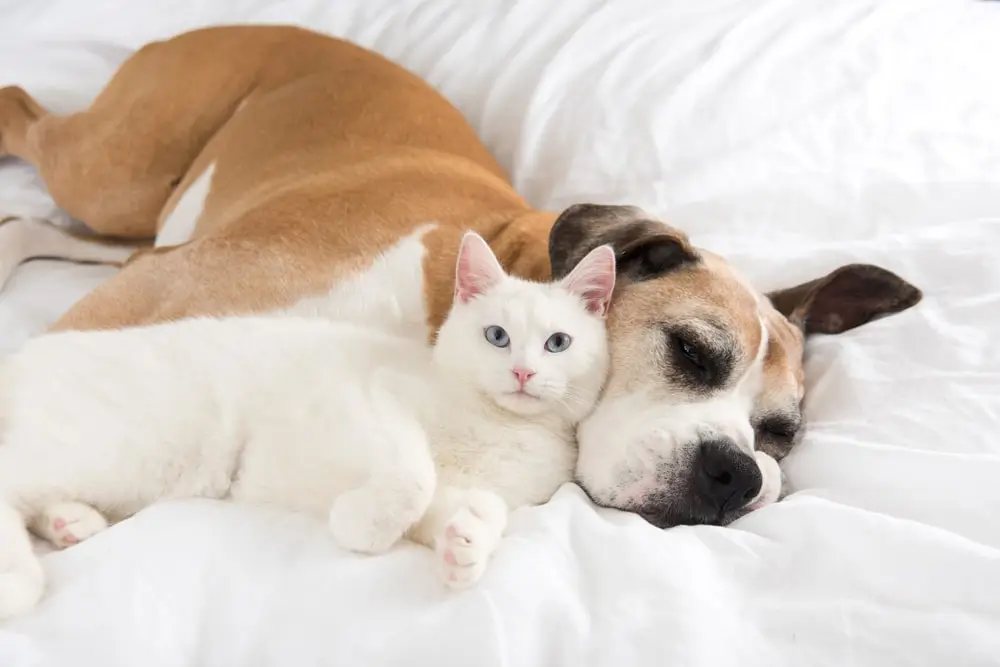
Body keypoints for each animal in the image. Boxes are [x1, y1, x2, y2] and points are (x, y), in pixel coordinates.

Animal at [0, 24, 920, 528]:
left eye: (781, 435)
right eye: (692, 352)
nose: (738, 474)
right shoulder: (164, 301)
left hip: (137, 229)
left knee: (45, 228)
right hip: (117, 172)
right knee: (22, 109)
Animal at [0, 232, 616, 620]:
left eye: (557, 343)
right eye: (496, 336)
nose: (522, 372)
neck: (495, 426)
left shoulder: (489, 489)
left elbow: (471, 506)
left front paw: (465, 547)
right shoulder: (365, 400)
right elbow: (412, 476)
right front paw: (362, 526)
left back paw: (69, 523)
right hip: (119, 448)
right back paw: (20, 583)